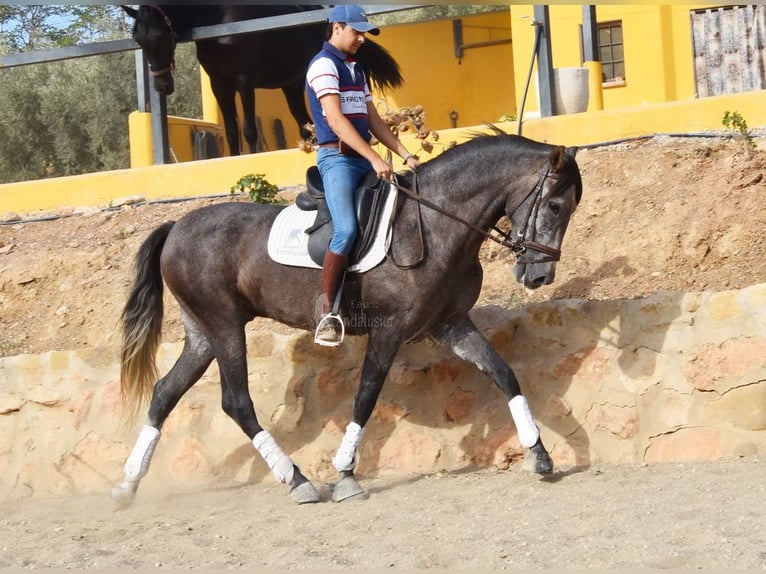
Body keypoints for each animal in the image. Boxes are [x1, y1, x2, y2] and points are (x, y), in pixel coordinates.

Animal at [112, 132, 584, 508]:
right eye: (555, 205)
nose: (540, 276)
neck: (435, 222)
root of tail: (176, 226)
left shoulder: (451, 324)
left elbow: (505, 375)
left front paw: (540, 454)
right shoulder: (390, 331)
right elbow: (366, 397)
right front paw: (345, 475)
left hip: (202, 333)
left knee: (164, 393)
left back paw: (128, 485)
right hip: (226, 326)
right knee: (236, 402)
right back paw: (298, 481)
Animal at [121, 3, 402, 155]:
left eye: (160, 36)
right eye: (138, 39)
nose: (162, 85)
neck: (220, 21)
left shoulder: (244, 81)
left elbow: (248, 128)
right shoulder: (219, 84)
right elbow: (231, 129)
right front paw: (234, 157)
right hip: (292, 86)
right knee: (305, 124)